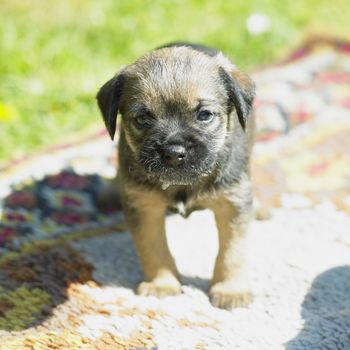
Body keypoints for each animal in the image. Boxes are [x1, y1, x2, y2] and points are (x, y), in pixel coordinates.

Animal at [97, 42, 256, 308]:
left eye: (204, 115)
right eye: (142, 118)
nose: (173, 152)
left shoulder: (232, 204)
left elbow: (232, 251)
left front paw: (230, 290)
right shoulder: (144, 207)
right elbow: (153, 248)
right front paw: (162, 284)